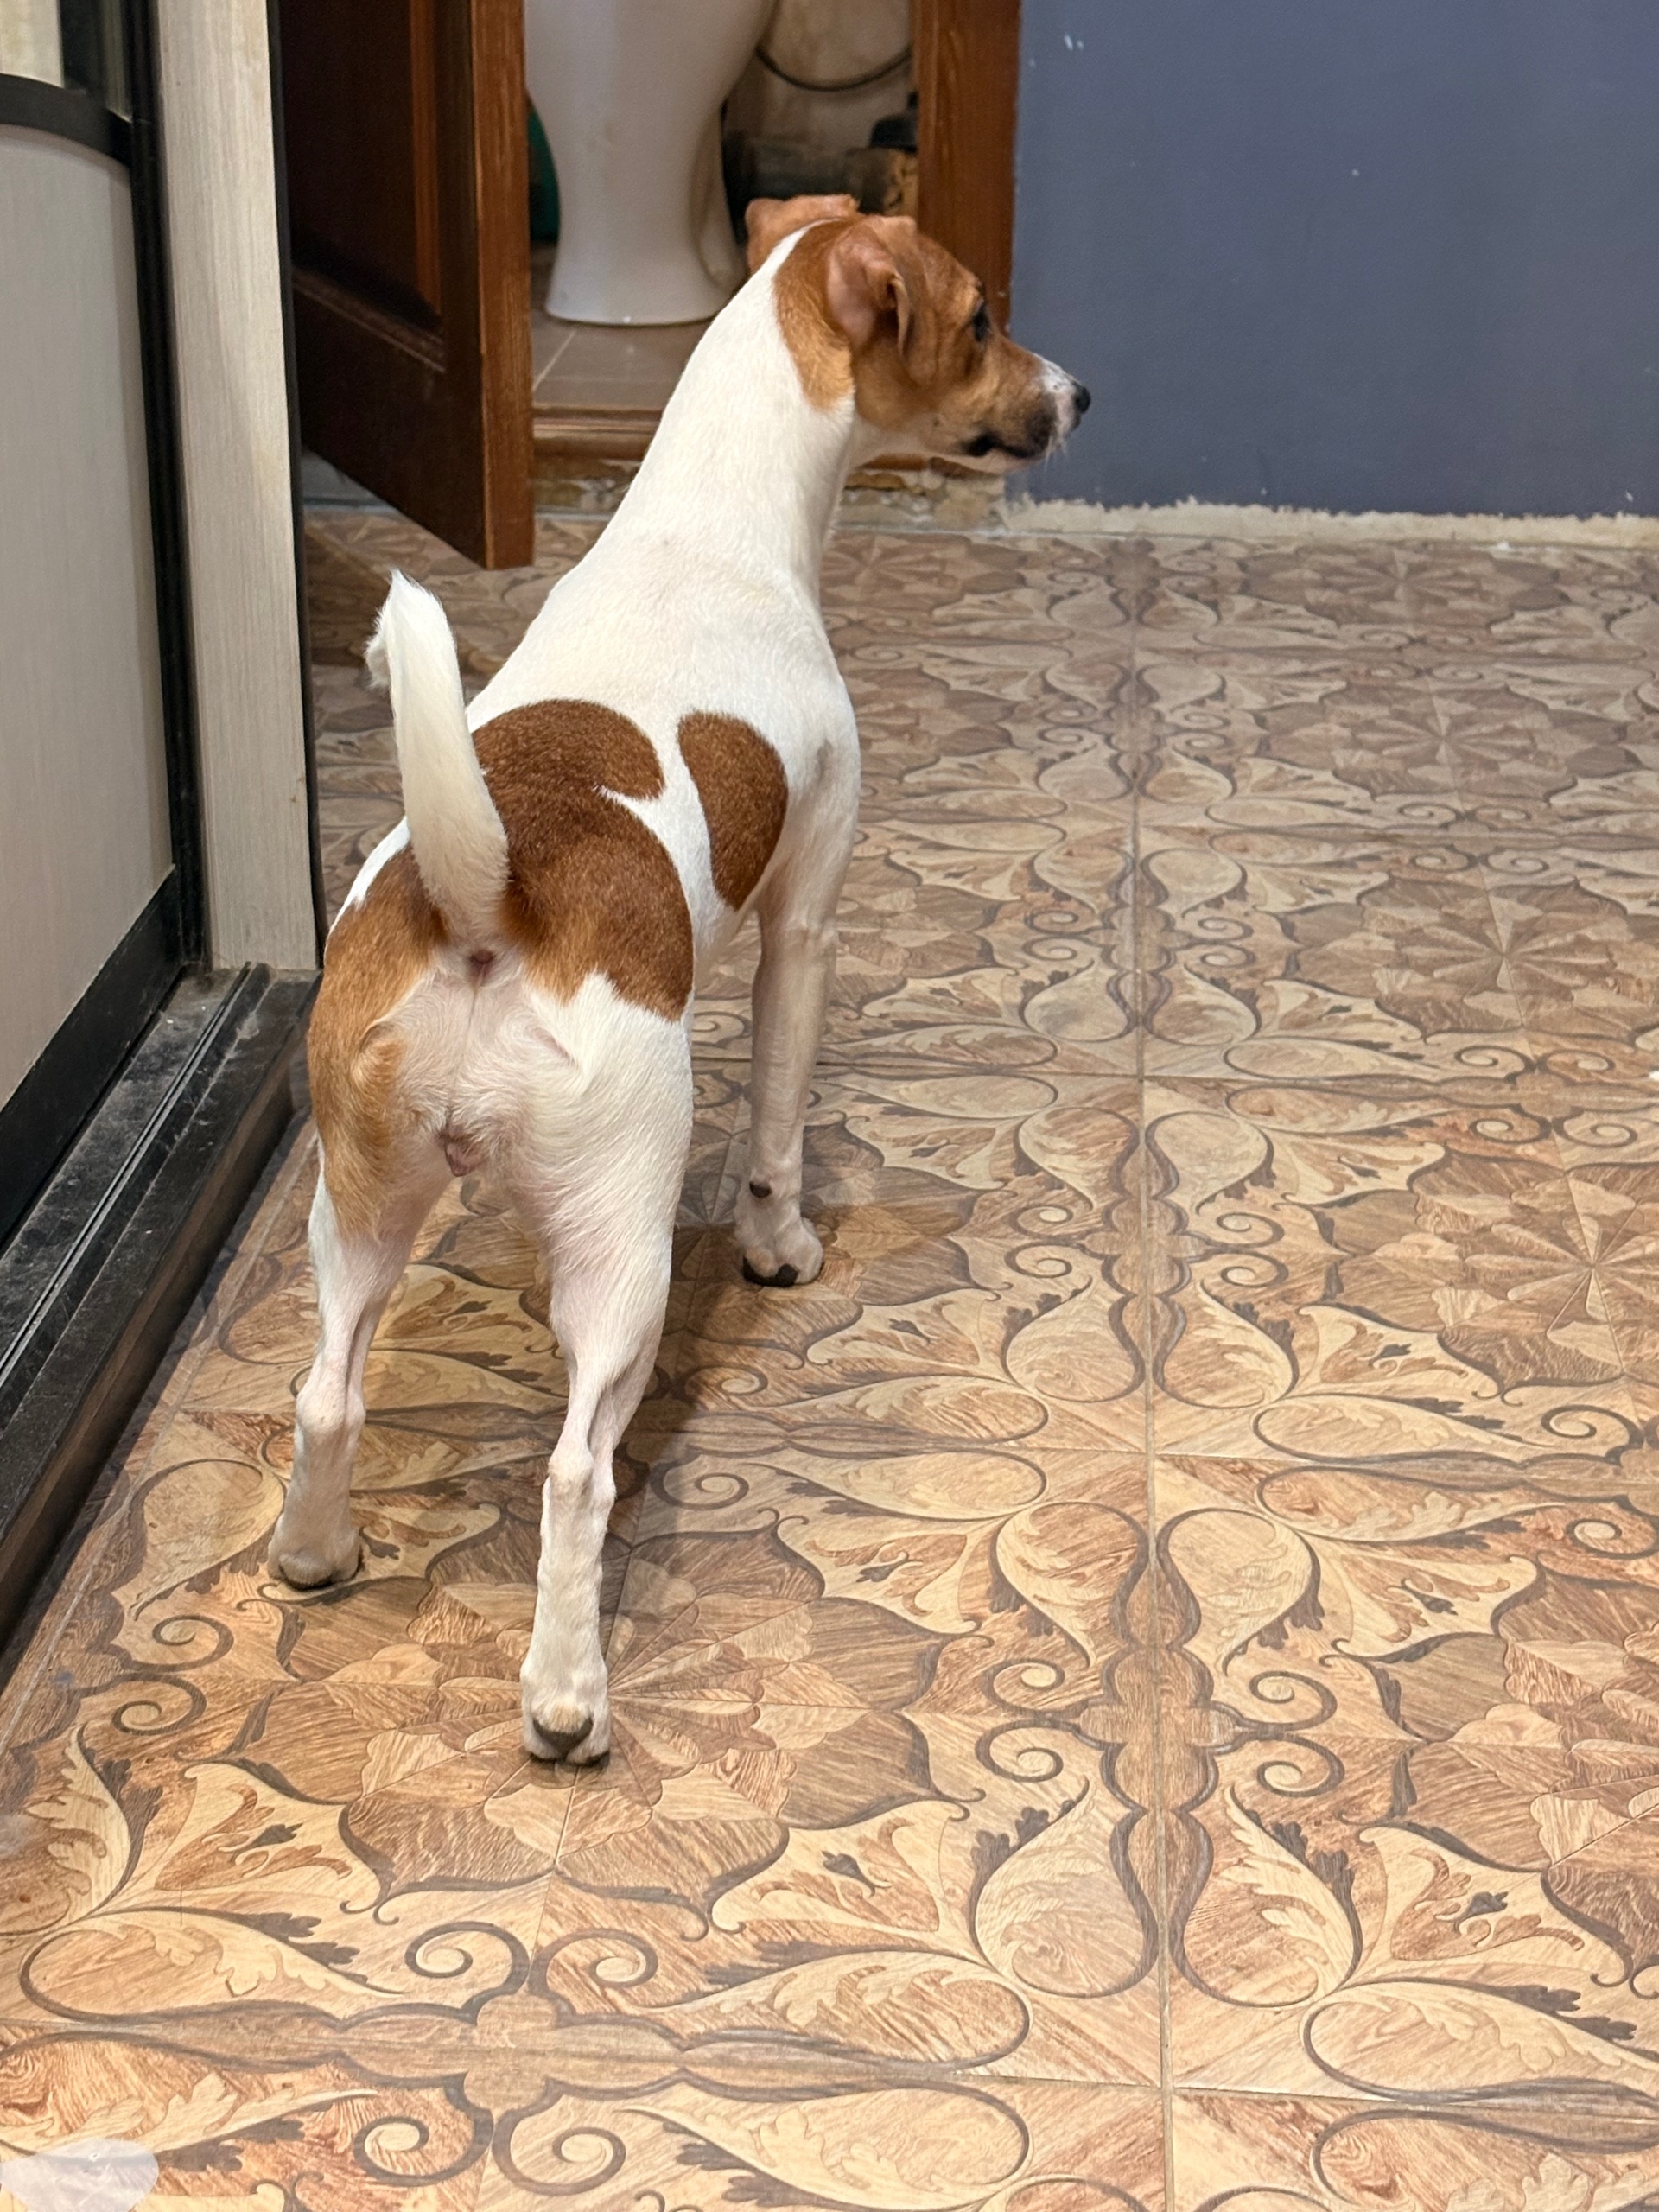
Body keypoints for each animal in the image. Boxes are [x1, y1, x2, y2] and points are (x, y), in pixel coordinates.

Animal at [271, 194, 1089, 1763]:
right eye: (980, 322)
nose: (1080, 394)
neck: (713, 521)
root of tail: (487, 900)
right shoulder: (807, 922)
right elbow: (776, 1127)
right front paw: (782, 1246)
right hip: (620, 1250)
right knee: (575, 1478)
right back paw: (565, 1692)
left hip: (358, 1203)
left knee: (330, 1395)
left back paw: (314, 1551)